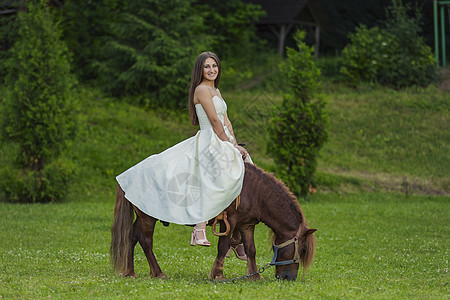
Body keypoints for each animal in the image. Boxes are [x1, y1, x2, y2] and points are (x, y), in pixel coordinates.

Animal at [110, 163, 316, 280]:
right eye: (302, 250)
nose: (289, 277)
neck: (254, 191)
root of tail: (128, 176)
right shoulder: (229, 221)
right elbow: (223, 247)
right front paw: (218, 275)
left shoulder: (246, 224)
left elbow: (251, 249)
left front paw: (255, 276)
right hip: (148, 217)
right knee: (145, 241)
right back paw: (158, 272)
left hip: (142, 216)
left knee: (132, 237)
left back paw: (130, 272)